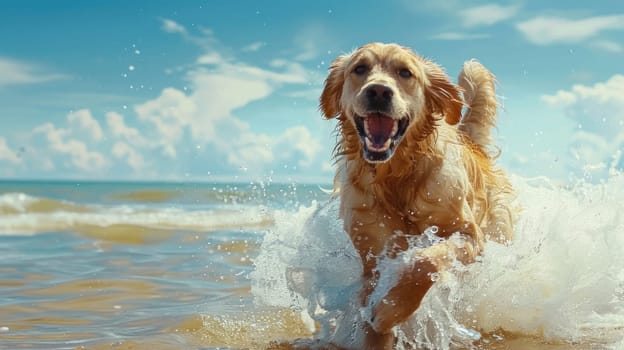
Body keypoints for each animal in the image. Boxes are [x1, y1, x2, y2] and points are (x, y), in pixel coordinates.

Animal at [320, 43, 516, 350]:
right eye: (359, 69)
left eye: (405, 72)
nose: (378, 91)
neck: (396, 177)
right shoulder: (374, 255)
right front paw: (380, 325)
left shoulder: (469, 235)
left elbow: (425, 261)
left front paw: (389, 311)